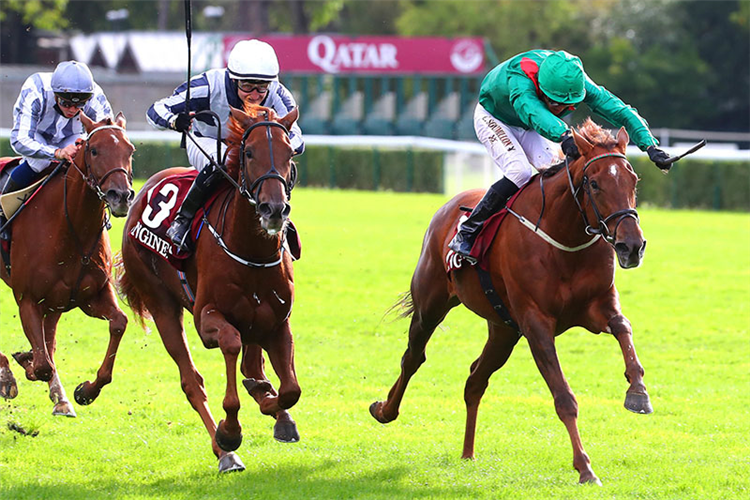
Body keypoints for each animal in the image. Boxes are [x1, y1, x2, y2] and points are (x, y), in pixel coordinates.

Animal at [0, 112, 135, 414]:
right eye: (93, 150)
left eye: (130, 150)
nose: (121, 196)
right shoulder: (28, 300)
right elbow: (42, 365)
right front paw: (17, 366)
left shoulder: (91, 295)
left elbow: (119, 323)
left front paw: (86, 391)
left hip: (56, 302)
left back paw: (60, 398)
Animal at [119, 105, 302, 472]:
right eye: (249, 153)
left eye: (290, 152)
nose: (274, 209)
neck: (250, 253)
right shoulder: (207, 318)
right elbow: (230, 346)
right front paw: (230, 432)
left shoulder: (278, 322)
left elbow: (290, 389)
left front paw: (274, 407)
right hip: (161, 303)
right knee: (192, 382)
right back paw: (225, 454)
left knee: (252, 366)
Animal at [370, 118, 652, 484]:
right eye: (594, 183)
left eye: (634, 180)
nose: (632, 246)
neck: (565, 236)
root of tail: (450, 205)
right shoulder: (535, 323)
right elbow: (564, 397)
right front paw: (585, 467)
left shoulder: (597, 305)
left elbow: (622, 326)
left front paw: (638, 392)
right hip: (431, 305)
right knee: (413, 357)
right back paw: (385, 410)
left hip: (503, 329)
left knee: (475, 380)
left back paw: (468, 452)